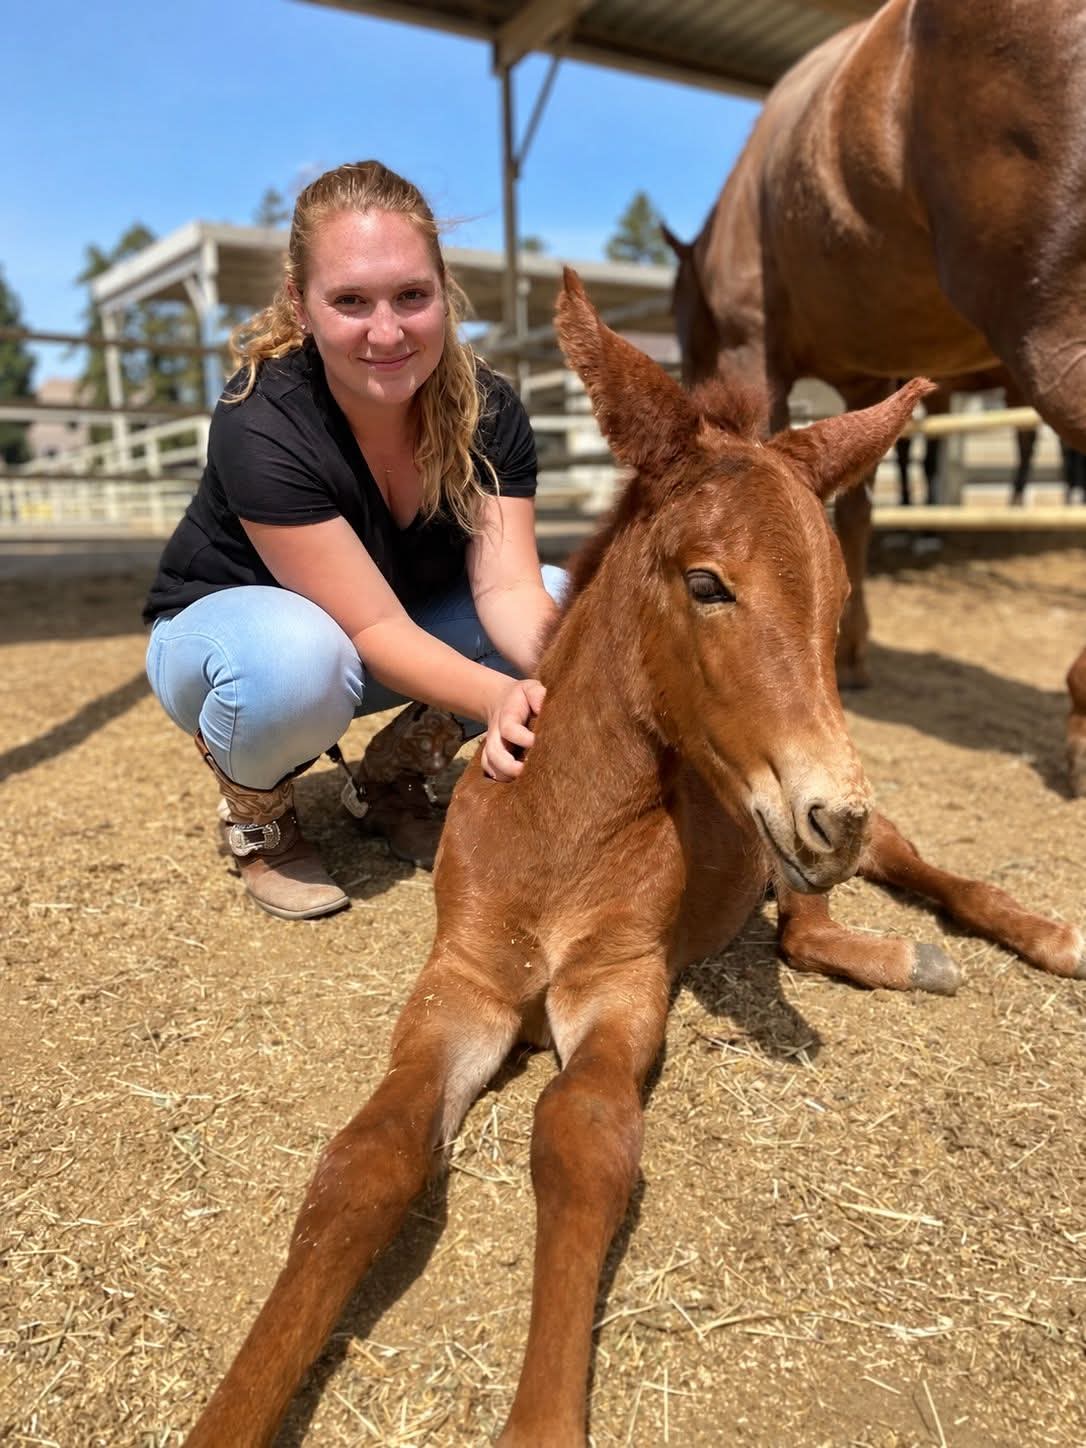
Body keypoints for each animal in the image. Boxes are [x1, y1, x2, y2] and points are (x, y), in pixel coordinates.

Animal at [182, 274, 1085, 1448]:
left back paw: (1028, 938)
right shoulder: (461, 983)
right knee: (802, 928)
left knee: (909, 884)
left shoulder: (621, 982)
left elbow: (583, 1136)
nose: (832, 810)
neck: (560, 829)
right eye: (707, 584)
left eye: (838, 603)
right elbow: (365, 1159)